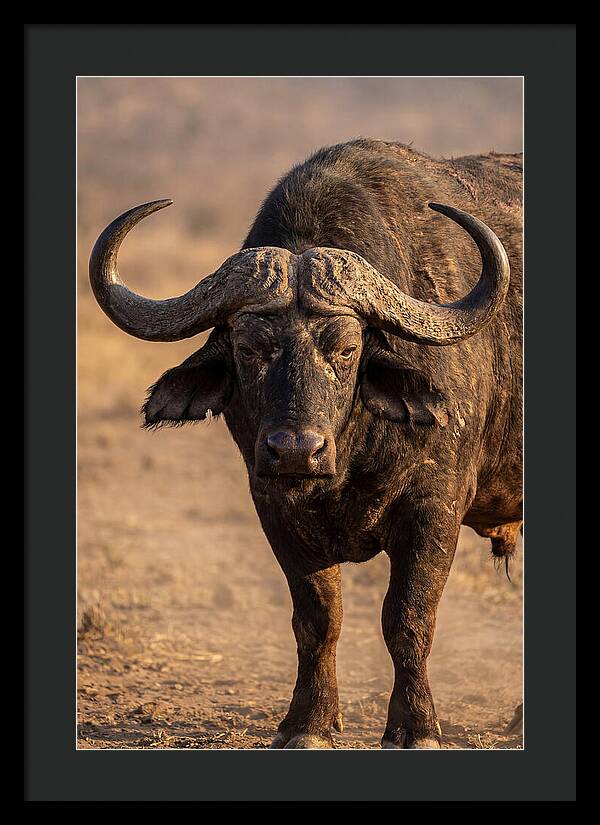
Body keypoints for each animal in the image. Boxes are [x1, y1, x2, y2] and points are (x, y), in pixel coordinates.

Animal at [89, 139, 522, 749]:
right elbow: (317, 621)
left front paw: (416, 726)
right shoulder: (273, 507)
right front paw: (309, 723)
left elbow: (408, 618)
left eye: (346, 348)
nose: (295, 450)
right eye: (249, 347)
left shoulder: (434, 509)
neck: (348, 457)